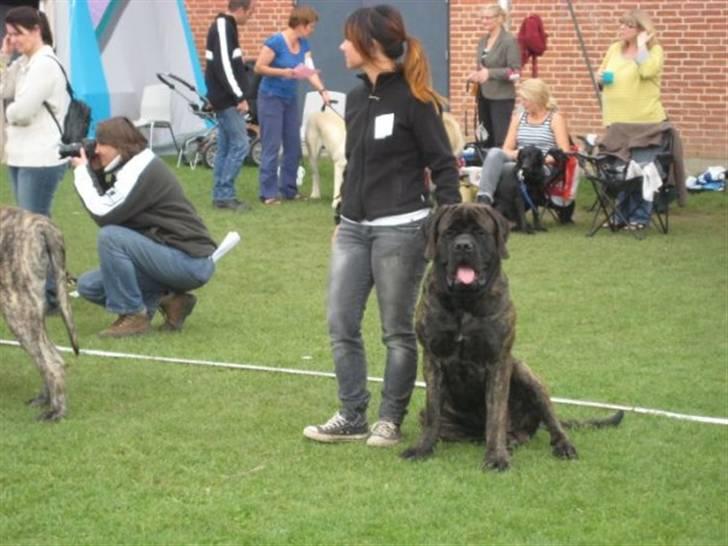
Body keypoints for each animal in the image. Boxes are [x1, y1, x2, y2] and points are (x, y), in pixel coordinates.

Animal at [0, 206, 79, 418]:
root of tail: (41, 224)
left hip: (17, 311)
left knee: (53, 362)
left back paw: (56, 412)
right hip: (32, 311)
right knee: (46, 358)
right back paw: (46, 400)